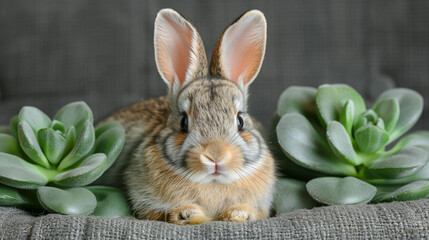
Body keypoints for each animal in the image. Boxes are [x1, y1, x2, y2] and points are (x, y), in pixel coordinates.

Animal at [101, 7, 274, 225]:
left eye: (240, 122)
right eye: (184, 122)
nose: (215, 155)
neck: (212, 182)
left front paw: (239, 214)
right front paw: (190, 215)